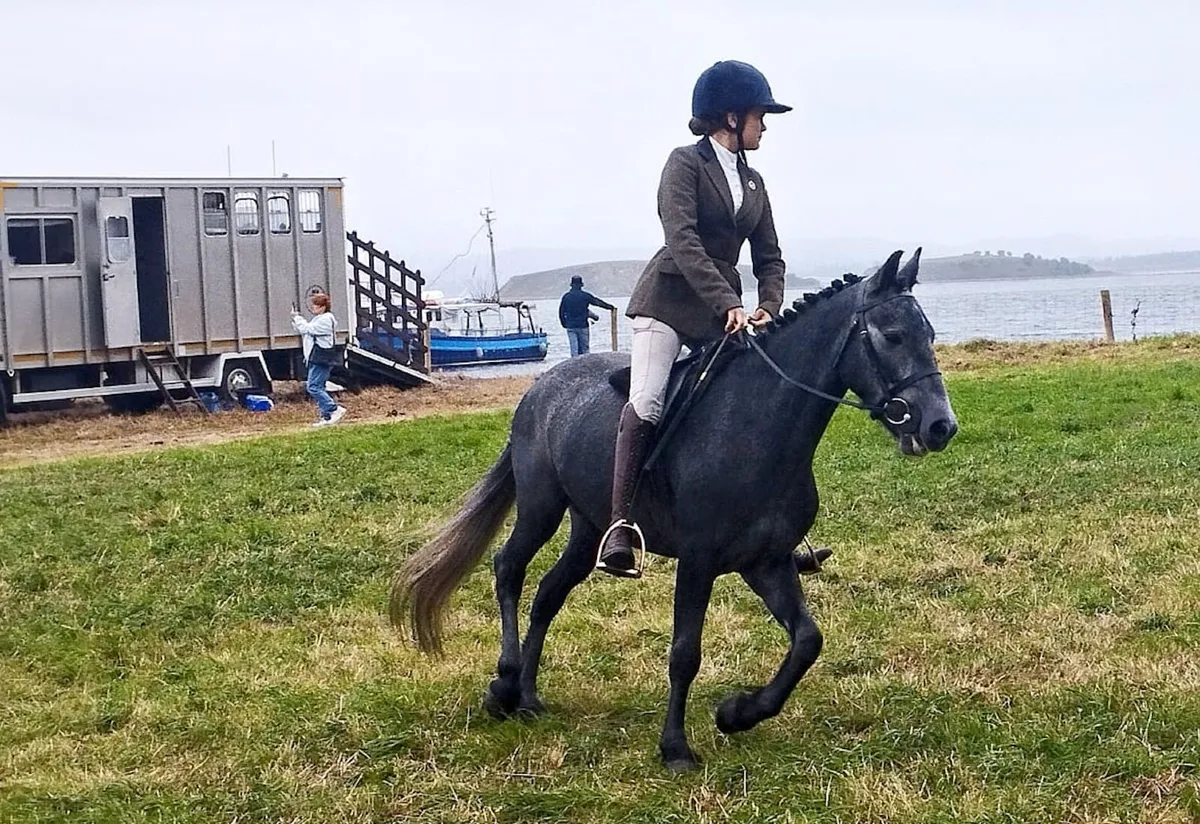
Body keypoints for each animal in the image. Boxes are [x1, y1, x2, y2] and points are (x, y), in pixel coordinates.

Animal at [390, 248, 958, 771]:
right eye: (892, 335)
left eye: (928, 332)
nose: (940, 426)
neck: (756, 427)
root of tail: (541, 388)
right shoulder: (699, 561)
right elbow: (685, 652)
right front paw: (676, 747)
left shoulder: (766, 561)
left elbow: (806, 641)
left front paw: (738, 713)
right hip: (540, 507)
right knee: (509, 568)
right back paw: (505, 683)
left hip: (589, 529)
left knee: (549, 593)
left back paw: (528, 695)